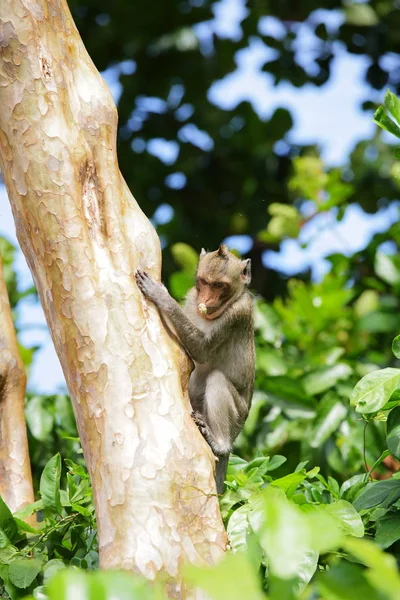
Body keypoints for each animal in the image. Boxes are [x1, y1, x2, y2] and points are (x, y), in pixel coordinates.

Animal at [134, 244, 253, 492]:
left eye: (219, 286)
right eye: (204, 282)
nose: (206, 299)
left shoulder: (238, 313)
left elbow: (202, 350)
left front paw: (161, 296)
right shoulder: (191, 298)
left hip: (237, 417)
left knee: (217, 380)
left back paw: (218, 444)